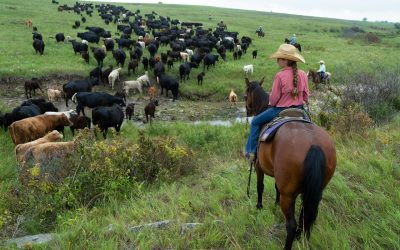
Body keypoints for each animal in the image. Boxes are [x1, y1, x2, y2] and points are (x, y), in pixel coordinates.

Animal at [245, 77, 336, 248]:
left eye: (244, 95)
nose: (247, 112)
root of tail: (313, 144)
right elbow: (276, 187)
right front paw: (275, 203)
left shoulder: (259, 167)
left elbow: (260, 186)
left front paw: (259, 206)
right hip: (315, 191)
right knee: (306, 217)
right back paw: (301, 238)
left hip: (289, 196)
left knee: (292, 224)